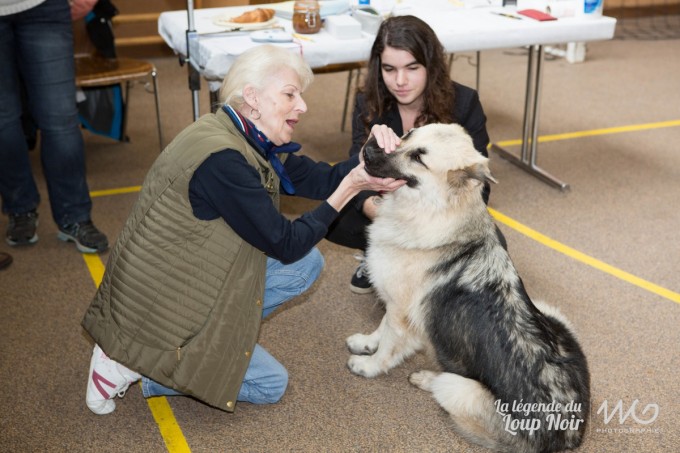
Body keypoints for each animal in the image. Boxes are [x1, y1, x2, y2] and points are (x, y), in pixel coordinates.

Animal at [346, 123, 588, 452]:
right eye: (407, 134)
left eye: (419, 158)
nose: (368, 148)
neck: (433, 214)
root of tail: (568, 436)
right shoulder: (394, 303)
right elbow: (380, 329)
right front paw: (366, 343)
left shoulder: (401, 313)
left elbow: (387, 346)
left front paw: (369, 366)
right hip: (551, 313)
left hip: (458, 388)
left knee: (445, 383)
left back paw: (425, 378)